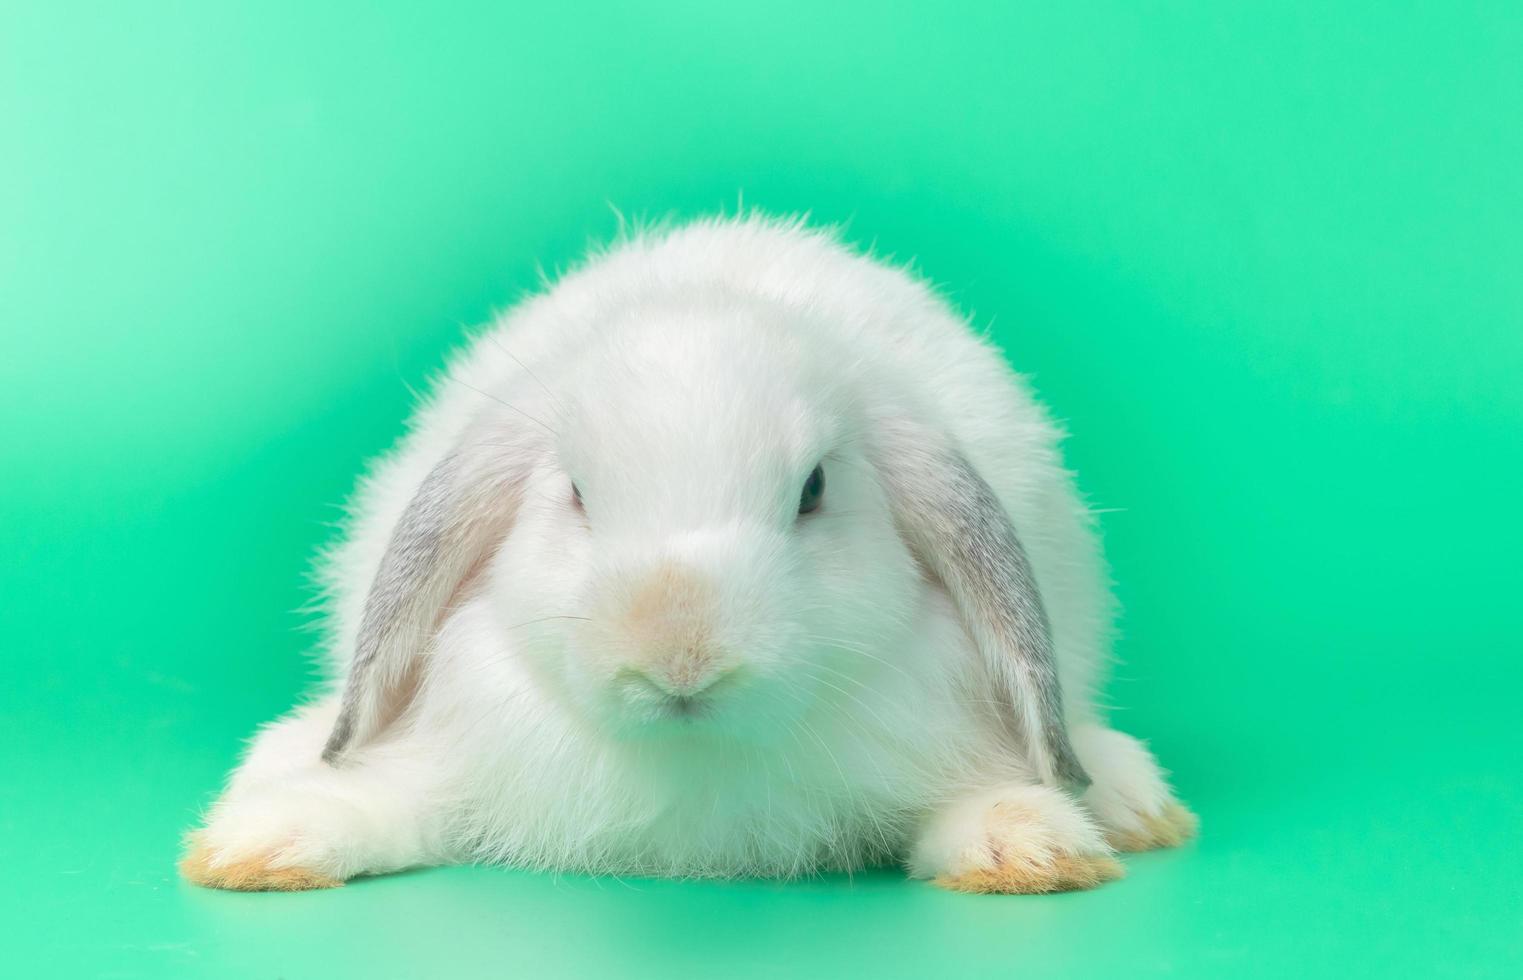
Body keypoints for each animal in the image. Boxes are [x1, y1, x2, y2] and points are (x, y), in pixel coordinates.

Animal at [178, 214, 1194, 896]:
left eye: (813, 489)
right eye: (576, 493)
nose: (679, 656)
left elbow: (954, 812)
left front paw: (1026, 847)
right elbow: (396, 806)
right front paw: (257, 846)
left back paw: (1127, 799)